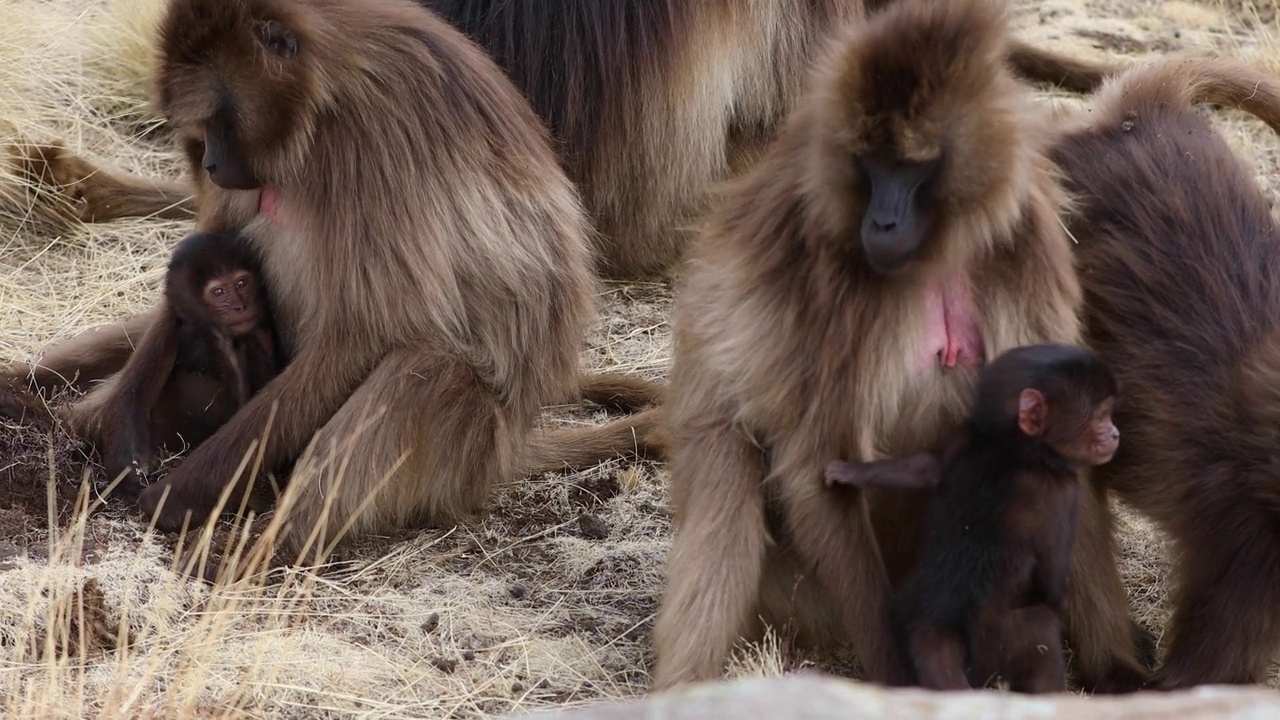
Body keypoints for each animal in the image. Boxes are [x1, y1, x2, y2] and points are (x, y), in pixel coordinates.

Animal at [85, 233, 285, 497]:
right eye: (218, 291)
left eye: (242, 283)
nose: (240, 307)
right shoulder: (174, 324)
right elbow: (132, 391)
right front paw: (129, 470)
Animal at [829, 340, 1121, 691]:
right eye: (1101, 415)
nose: (1115, 433)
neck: (1010, 446)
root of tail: (937, 628)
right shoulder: (1062, 491)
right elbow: (1053, 573)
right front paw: (1061, 600)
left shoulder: (962, 437)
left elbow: (927, 467)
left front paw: (847, 471)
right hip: (1001, 642)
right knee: (1041, 634)